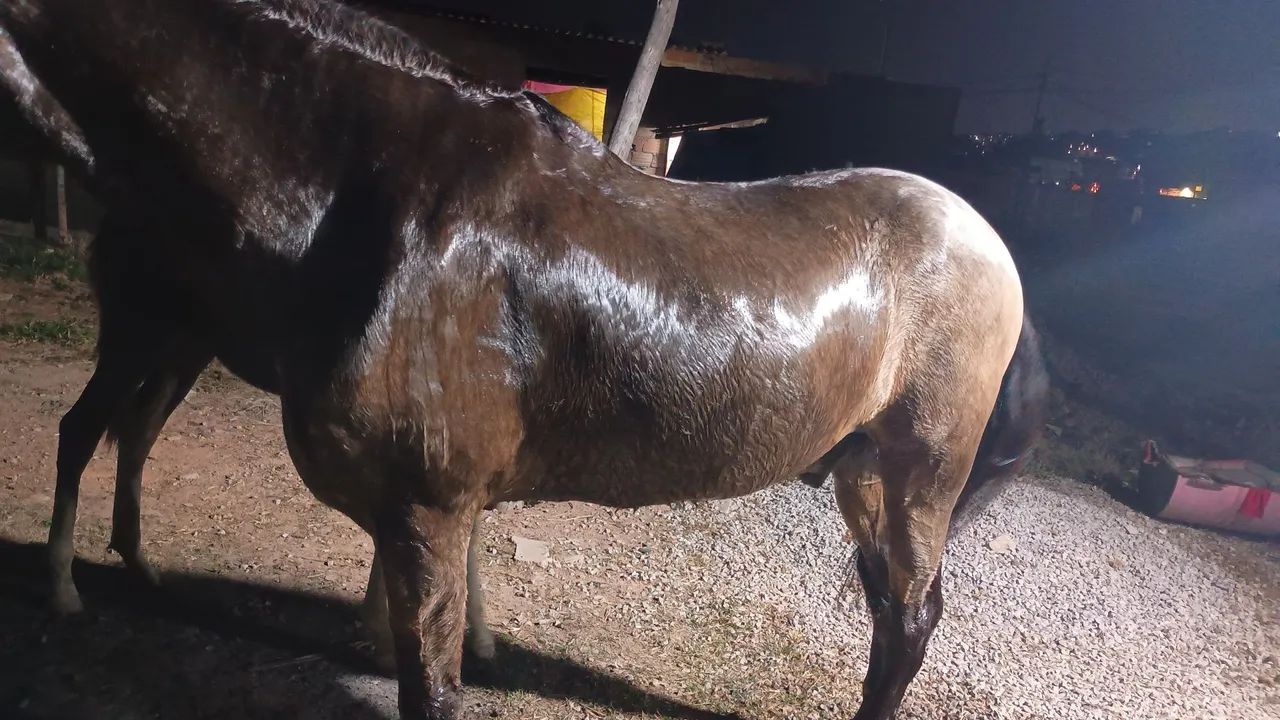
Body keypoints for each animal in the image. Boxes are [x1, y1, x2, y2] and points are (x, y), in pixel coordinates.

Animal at [0, 2, 1047, 718]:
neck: (362, 195)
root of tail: (991, 243)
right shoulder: (432, 507)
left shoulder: (425, 506)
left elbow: (429, 680)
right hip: (864, 471)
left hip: (919, 472)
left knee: (908, 621)